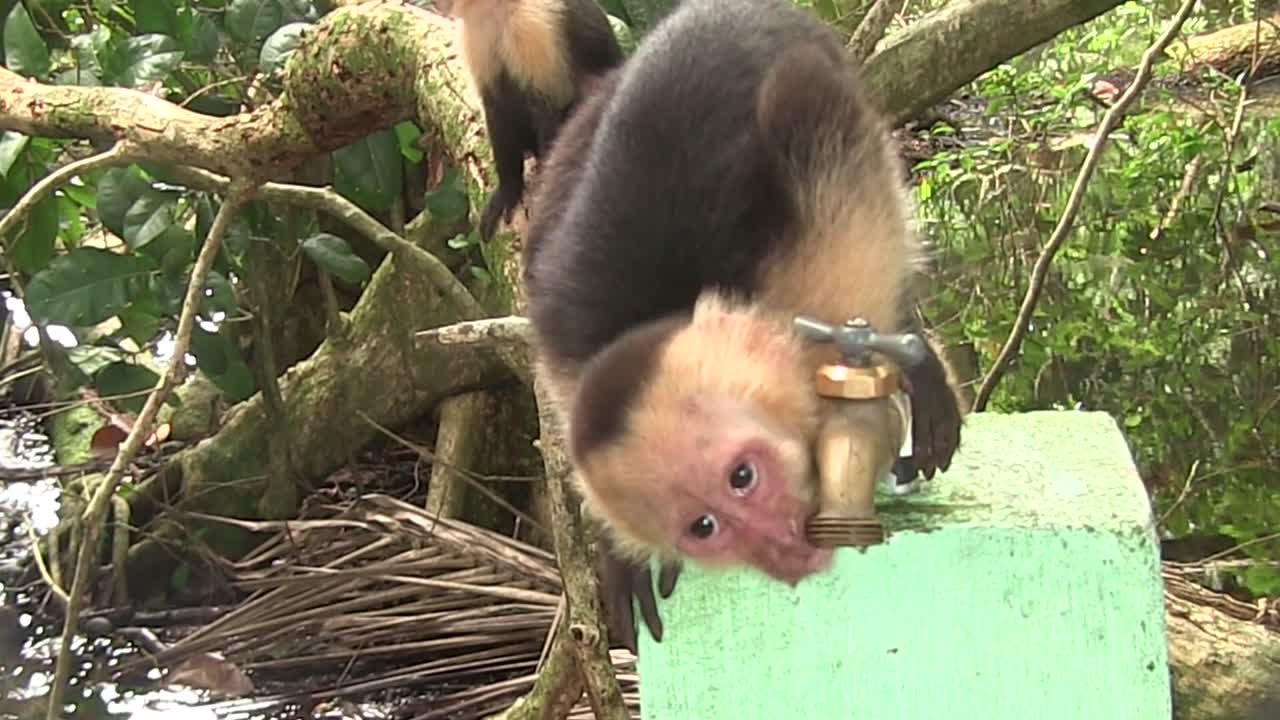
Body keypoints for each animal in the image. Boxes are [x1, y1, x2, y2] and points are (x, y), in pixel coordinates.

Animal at [440, 0, 623, 242]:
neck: (493, 8)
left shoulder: (533, 22)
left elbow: (548, 106)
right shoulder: (477, 32)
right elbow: (496, 105)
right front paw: (508, 190)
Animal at [521, 0, 964, 651]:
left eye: (742, 476)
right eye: (704, 526)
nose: (777, 544)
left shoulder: (833, 275)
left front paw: (910, 358)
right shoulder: (566, 354)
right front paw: (616, 550)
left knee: (804, 98)